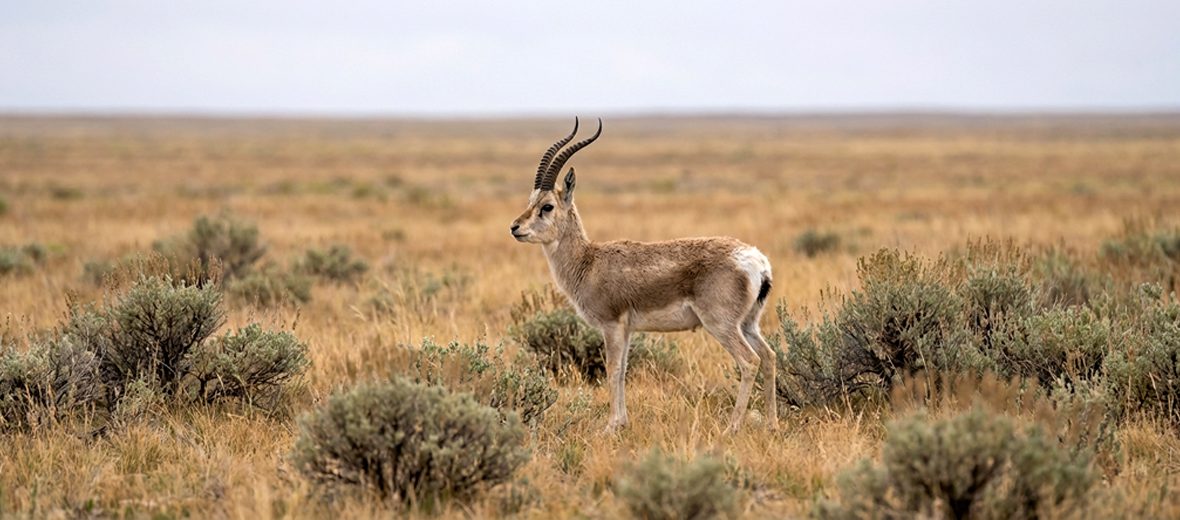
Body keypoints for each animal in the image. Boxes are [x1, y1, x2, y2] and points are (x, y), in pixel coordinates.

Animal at [510, 118, 777, 434]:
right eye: (530, 201)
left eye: (547, 206)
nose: (515, 227)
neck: (589, 262)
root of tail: (757, 261)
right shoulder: (626, 330)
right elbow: (624, 370)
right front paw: (622, 423)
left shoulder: (612, 325)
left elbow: (613, 370)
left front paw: (610, 427)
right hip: (748, 324)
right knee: (770, 357)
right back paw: (772, 425)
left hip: (721, 325)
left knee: (749, 362)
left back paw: (731, 428)